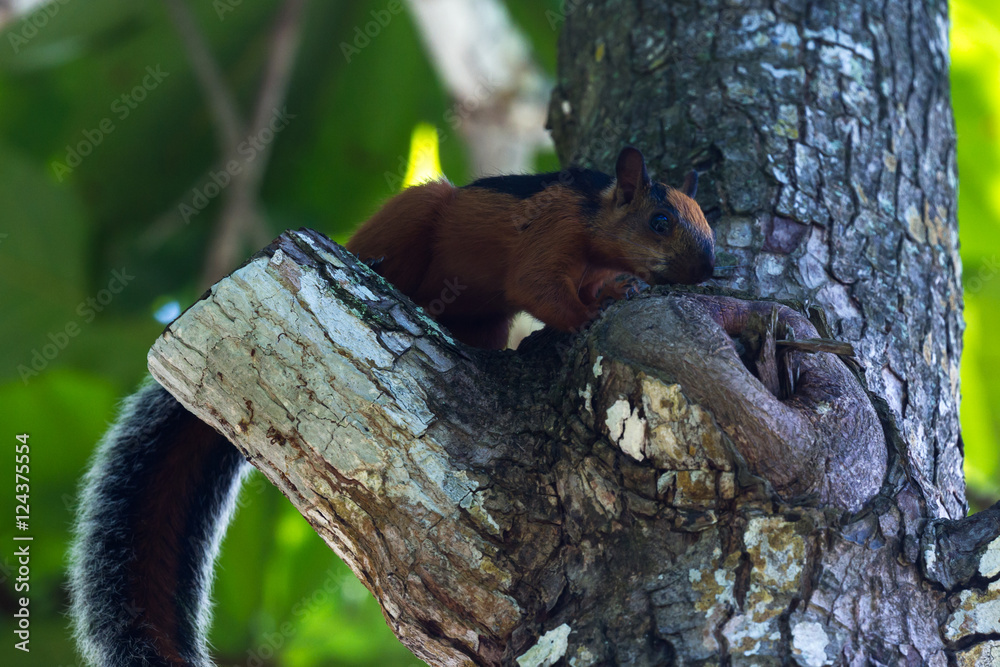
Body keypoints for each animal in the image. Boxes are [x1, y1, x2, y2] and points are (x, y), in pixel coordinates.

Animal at [69, 147, 714, 667]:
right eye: (660, 220)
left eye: (706, 219)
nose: (710, 269)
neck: (594, 217)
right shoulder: (549, 234)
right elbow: (539, 286)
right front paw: (585, 315)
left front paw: (621, 290)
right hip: (416, 211)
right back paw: (377, 269)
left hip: (481, 317)